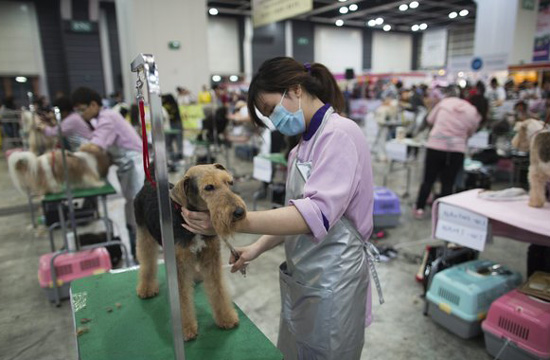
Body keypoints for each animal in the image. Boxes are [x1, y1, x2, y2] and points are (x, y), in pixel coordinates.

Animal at [135, 163, 247, 340]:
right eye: (209, 187)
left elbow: (218, 290)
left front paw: (226, 318)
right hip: (144, 236)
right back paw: (146, 289)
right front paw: (186, 329)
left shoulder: (211, 258)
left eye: (229, 182)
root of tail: (148, 184)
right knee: (147, 262)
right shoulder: (179, 265)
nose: (239, 212)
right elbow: (182, 298)